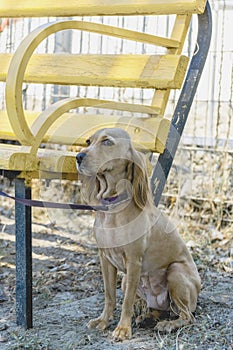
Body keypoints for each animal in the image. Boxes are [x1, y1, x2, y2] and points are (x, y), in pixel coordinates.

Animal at [76, 127, 200, 340]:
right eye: (88, 141)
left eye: (107, 142)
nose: (78, 156)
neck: (113, 210)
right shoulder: (105, 259)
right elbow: (109, 295)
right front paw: (103, 321)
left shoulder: (133, 261)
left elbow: (126, 302)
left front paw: (122, 329)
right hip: (126, 280)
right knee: (158, 310)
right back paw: (147, 318)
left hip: (175, 272)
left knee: (187, 316)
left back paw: (168, 324)